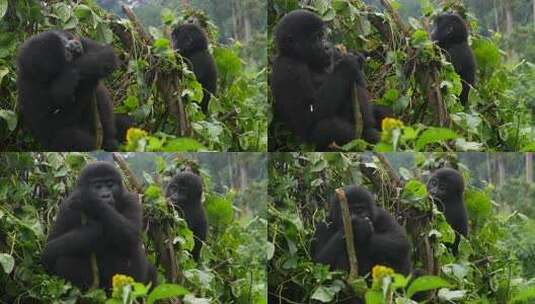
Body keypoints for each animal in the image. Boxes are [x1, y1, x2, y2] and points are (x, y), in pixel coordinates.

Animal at [42, 162, 156, 290]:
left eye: (110, 184)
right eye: (97, 186)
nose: (105, 195)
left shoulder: (131, 199)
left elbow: (132, 235)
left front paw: (90, 201)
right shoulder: (66, 207)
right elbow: (49, 248)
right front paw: (92, 230)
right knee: (64, 258)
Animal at [272, 10, 382, 150]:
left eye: (323, 35)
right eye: (316, 38)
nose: (327, 46)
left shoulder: (335, 53)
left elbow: (360, 84)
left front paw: (356, 58)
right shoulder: (287, 68)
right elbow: (305, 116)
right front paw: (347, 66)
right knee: (328, 128)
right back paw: (368, 136)